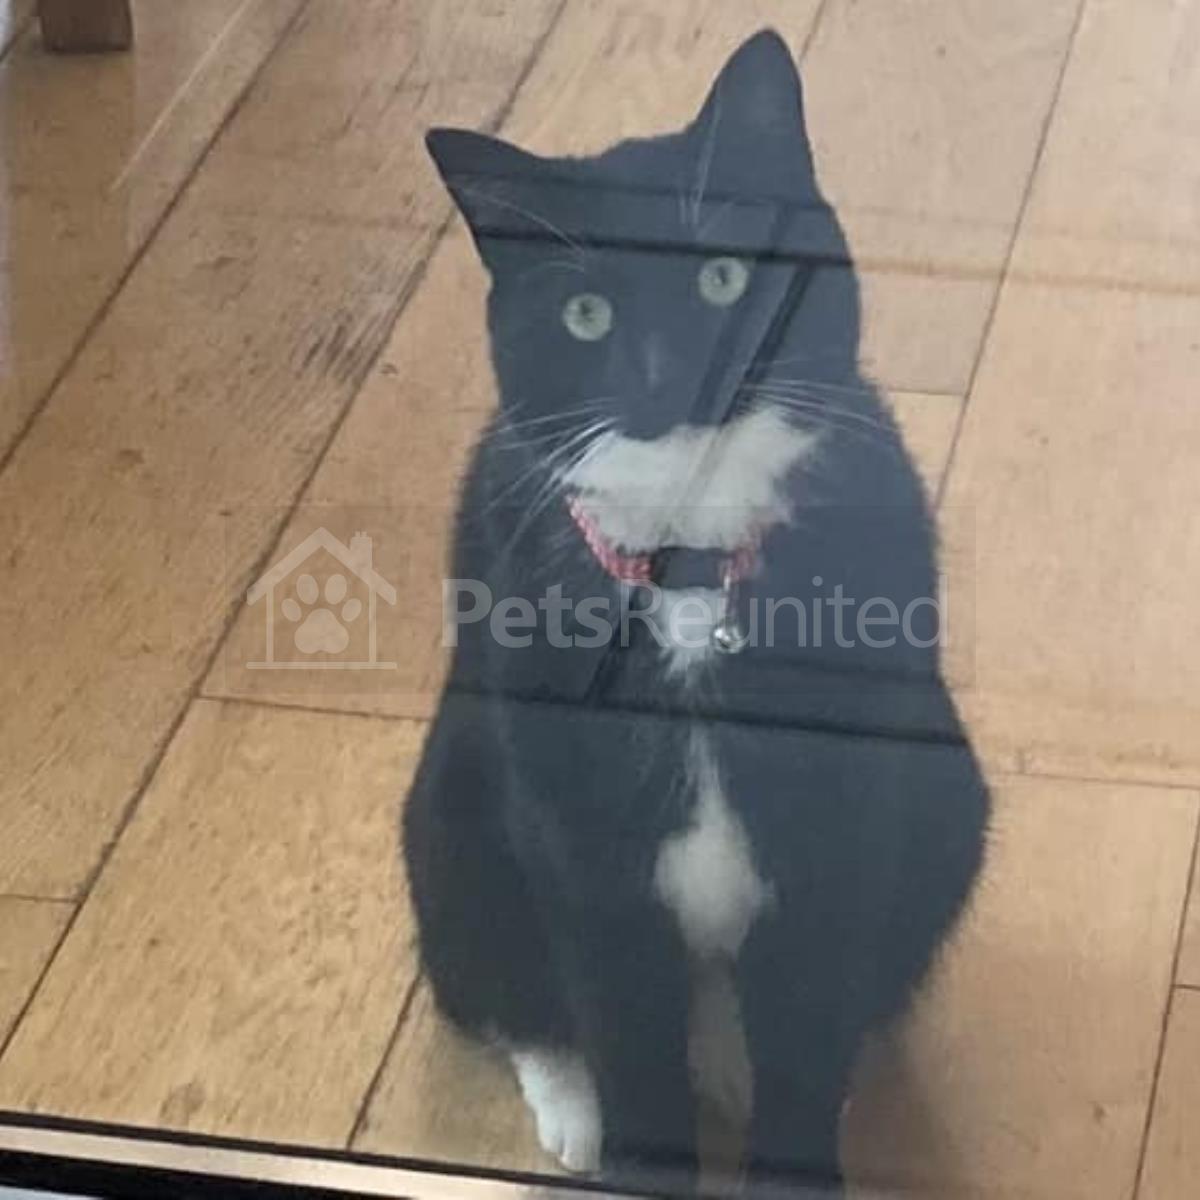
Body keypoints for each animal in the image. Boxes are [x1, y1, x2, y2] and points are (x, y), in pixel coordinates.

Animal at [404, 29, 989, 1197]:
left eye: (722, 275)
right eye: (586, 313)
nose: (674, 372)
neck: (692, 570)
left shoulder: (841, 825)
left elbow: (809, 1027)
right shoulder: (580, 849)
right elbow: (621, 1028)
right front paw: (633, 1147)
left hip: (951, 793)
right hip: (447, 817)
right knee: (506, 995)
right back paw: (576, 1108)